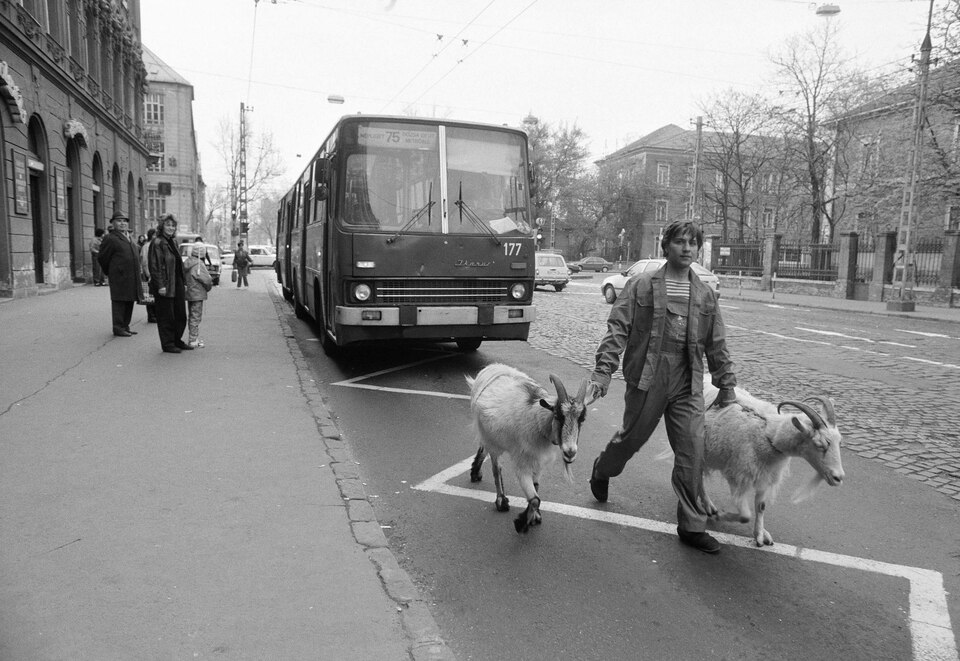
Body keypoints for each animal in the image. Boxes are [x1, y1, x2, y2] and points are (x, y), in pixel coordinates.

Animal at [464, 360, 592, 532]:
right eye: (558, 415)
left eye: (582, 419)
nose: (570, 453)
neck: (536, 421)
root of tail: (491, 368)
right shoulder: (522, 463)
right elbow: (535, 499)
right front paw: (521, 523)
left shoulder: (539, 463)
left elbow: (536, 487)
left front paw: (534, 517)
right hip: (491, 440)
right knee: (496, 468)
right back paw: (501, 501)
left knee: (483, 448)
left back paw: (475, 473)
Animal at [700, 382, 844, 548]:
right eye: (820, 444)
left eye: (839, 442)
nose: (838, 478)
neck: (767, 434)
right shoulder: (739, 476)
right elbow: (745, 516)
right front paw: (721, 516)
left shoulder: (766, 475)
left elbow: (761, 506)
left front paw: (760, 534)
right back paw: (709, 507)